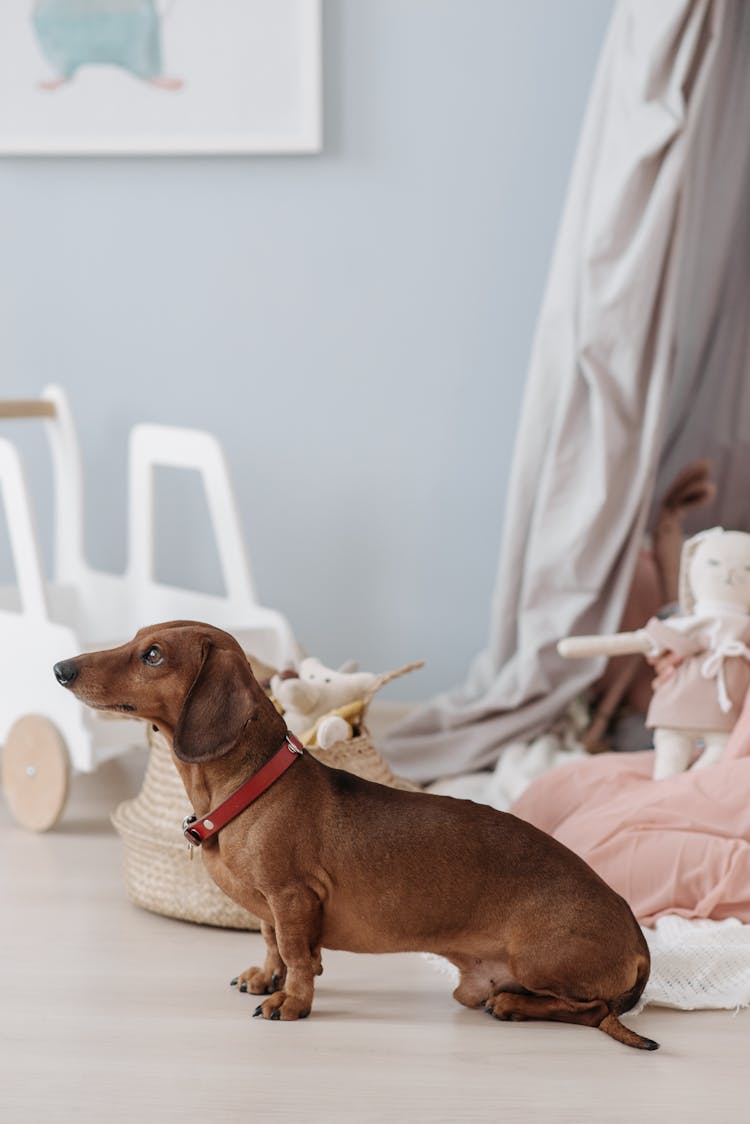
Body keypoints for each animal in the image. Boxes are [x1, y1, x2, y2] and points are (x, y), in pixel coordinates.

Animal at [54, 620, 656, 1047]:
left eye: (153, 654)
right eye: (136, 638)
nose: (60, 668)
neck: (254, 787)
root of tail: (636, 931)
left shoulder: (293, 896)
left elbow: (296, 955)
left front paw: (292, 1002)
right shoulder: (273, 907)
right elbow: (272, 944)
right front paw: (266, 978)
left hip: (539, 958)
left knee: (591, 1010)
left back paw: (514, 1005)